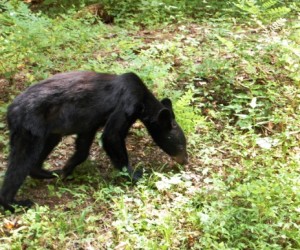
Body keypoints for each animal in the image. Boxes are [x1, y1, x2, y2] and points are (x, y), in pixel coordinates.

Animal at [0, 71, 188, 212]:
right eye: (181, 145)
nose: (185, 160)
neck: (143, 101)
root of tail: (10, 110)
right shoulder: (126, 104)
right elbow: (111, 136)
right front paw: (136, 175)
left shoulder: (90, 121)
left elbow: (83, 146)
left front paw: (67, 169)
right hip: (30, 128)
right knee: (21, 161)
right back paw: (14, 203)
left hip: (50, 130)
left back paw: (49, 173)